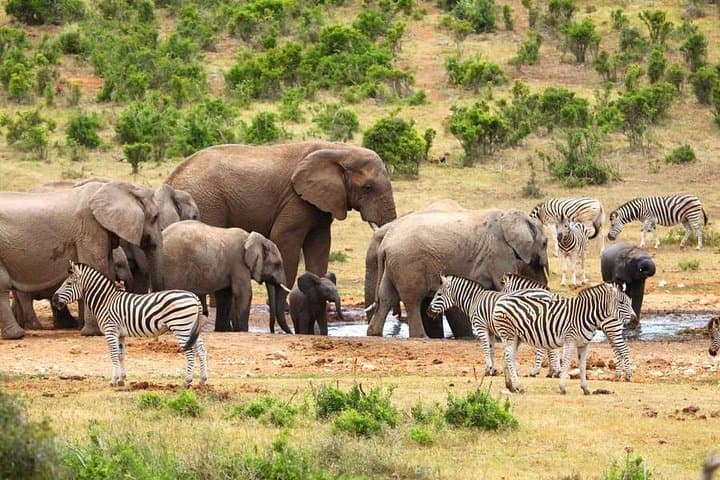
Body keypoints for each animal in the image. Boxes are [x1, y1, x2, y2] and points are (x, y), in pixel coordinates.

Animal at [0, 181, 164, 339]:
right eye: (155, 217)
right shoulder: (90, 228)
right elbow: (96, 268)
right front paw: (94, 333)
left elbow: (107, 271)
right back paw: (18, 335)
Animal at [161, 220, 291, 332]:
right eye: (277, 264)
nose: (273, 331)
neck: (252, 238)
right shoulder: (239, 263)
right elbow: (244, 294)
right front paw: (242, 331)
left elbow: (225, 296)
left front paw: (222, 330)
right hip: (174, 264)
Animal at [366, 208, 549, 338]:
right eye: (546, 243)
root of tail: (385, 244)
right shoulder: (499, 252)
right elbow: (504, 287)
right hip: (408, 264)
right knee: (413, 299)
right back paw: (421, 337)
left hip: (393, 264)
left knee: (386, 297)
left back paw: (373, 333)